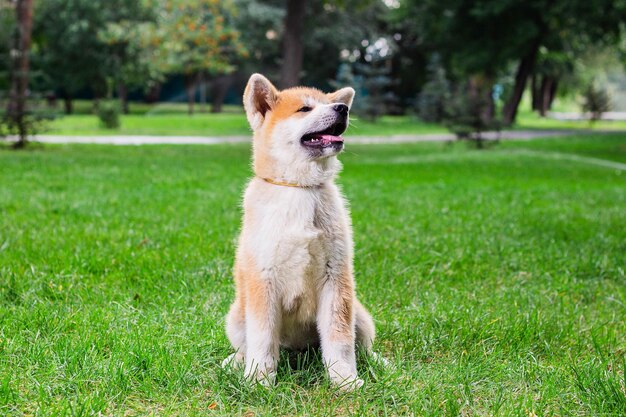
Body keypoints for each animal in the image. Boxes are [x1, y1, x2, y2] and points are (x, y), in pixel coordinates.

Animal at [224, 73, 380, 388]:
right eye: (305, 109)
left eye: (332, 103)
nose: (342, 108)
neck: (299, 189)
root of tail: (297, 350)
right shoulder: (263, 279)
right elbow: (261, 339)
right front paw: (258, 379)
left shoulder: (336, 278)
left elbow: (339, 339)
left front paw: (344, 379)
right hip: (235, 317)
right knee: (246, 345)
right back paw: (235, 363)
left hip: (359, 314)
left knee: (364, 345)